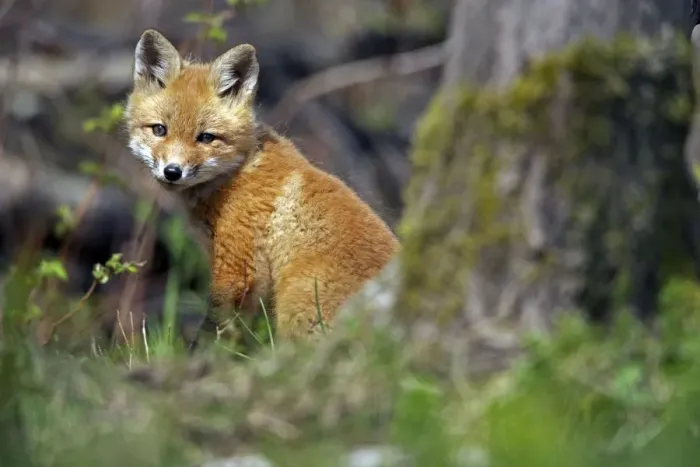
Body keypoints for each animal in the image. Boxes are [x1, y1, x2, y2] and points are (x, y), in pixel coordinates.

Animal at [124, 29, 400, 349]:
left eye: (206, 138)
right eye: (159, 130)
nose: (172, 172)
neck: (237, 170)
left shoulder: (238, 268)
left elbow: (215, 332)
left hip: (295, 303)